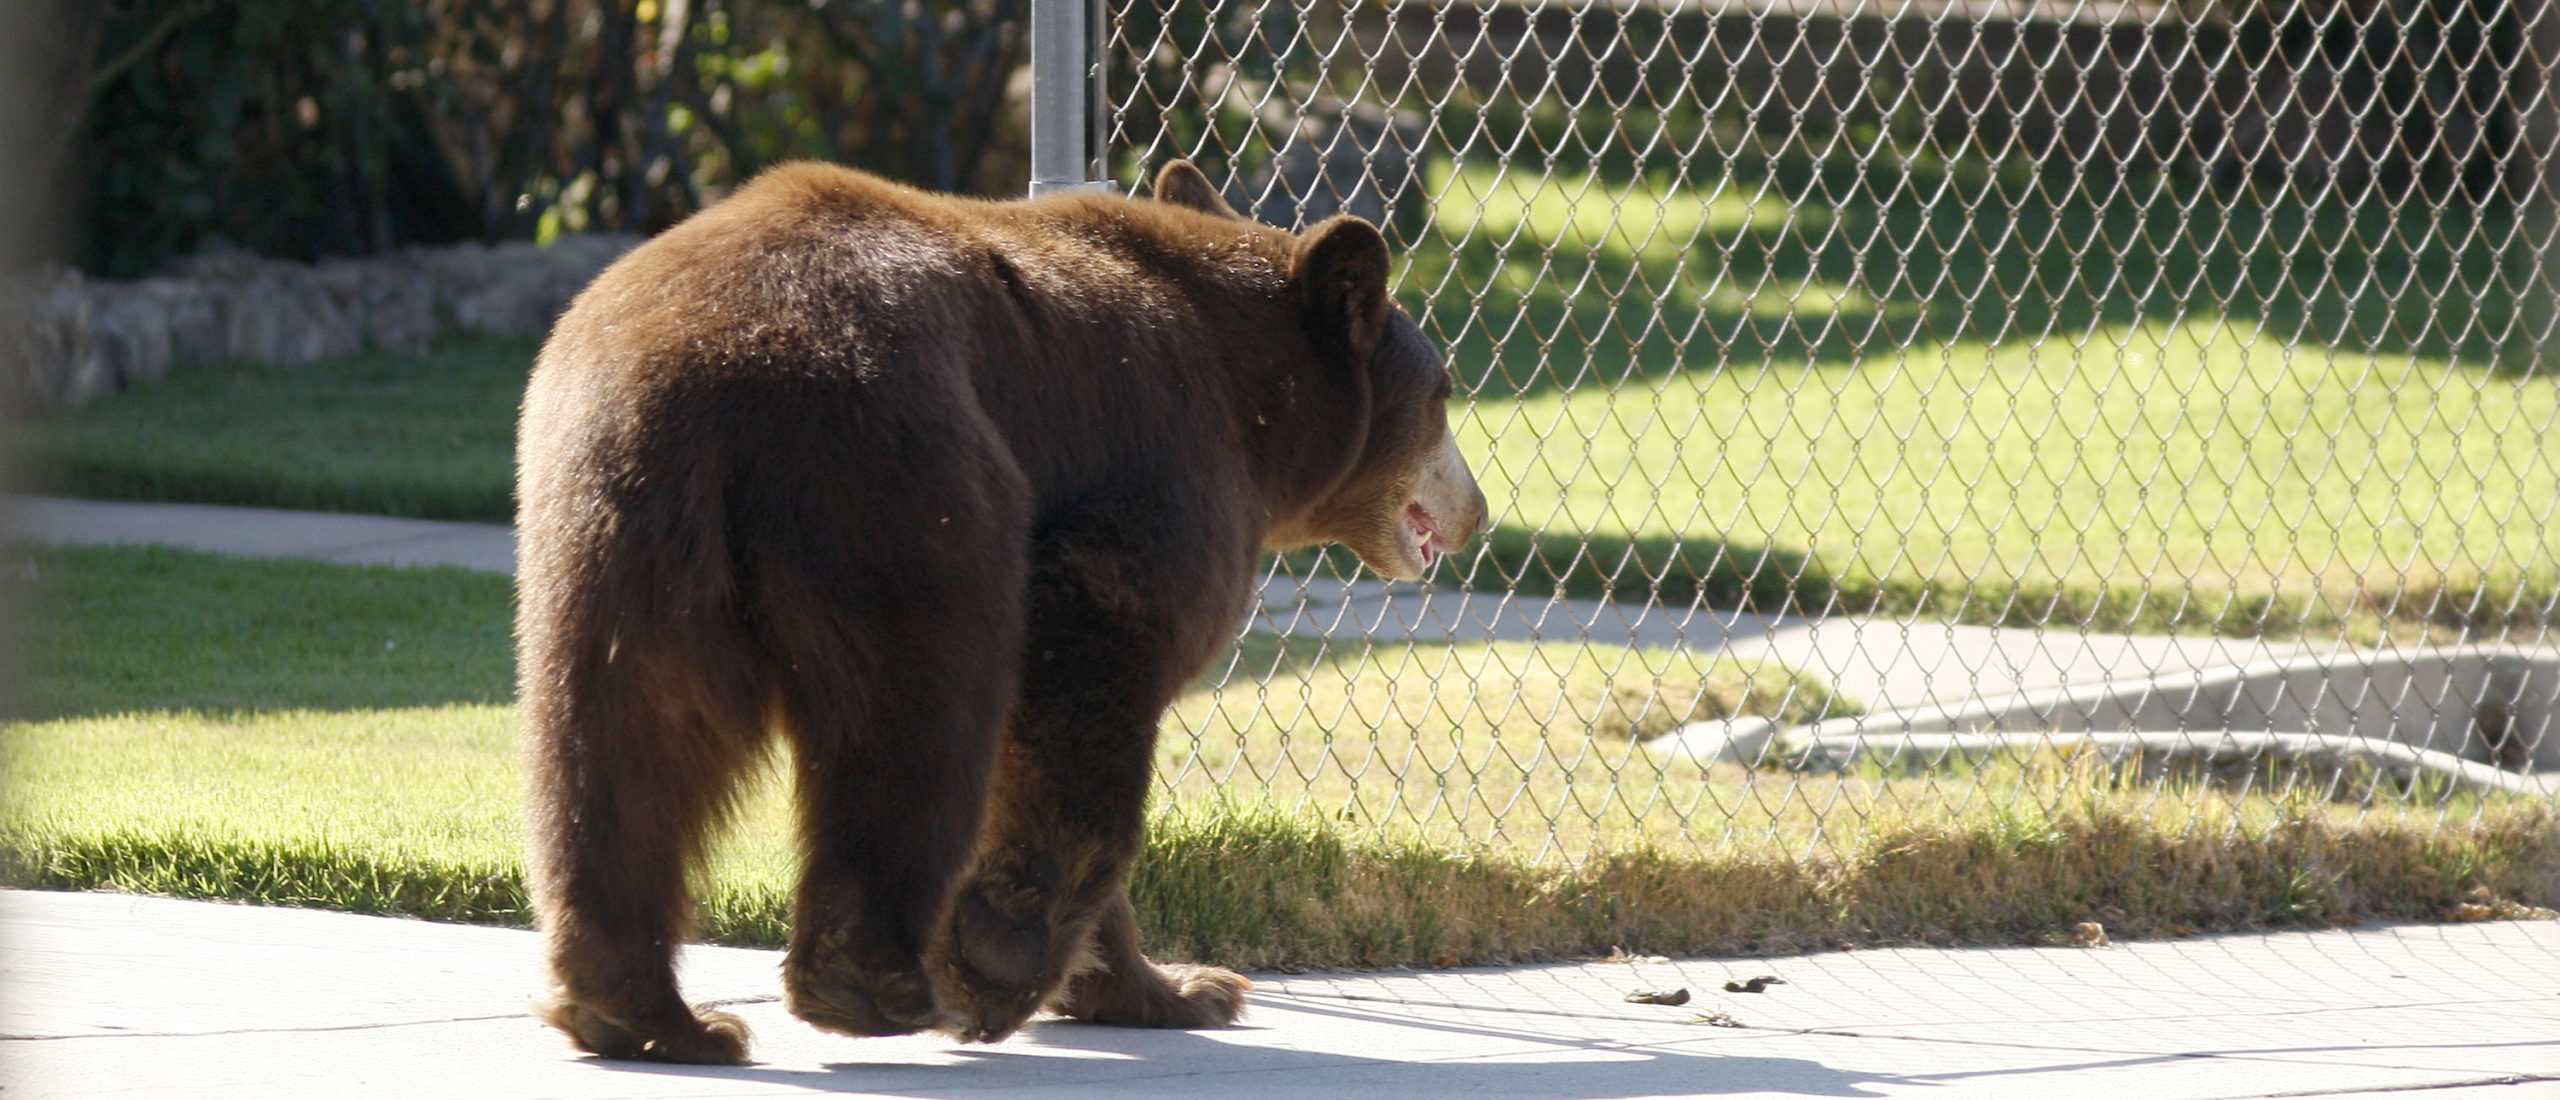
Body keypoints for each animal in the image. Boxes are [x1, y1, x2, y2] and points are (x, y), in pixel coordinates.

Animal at [514, 159, 1484, 1059]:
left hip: (614, 522)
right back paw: (874, 983)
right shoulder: (1165, 465)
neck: (1259, 407)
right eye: (1443, 394)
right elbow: (1092, 663)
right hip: (899, 477)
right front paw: (1009, 954)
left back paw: (646, 1014)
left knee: (627, 740)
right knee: (921, 707)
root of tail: (712, 364)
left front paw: (1178, 987)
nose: (1475, 510)